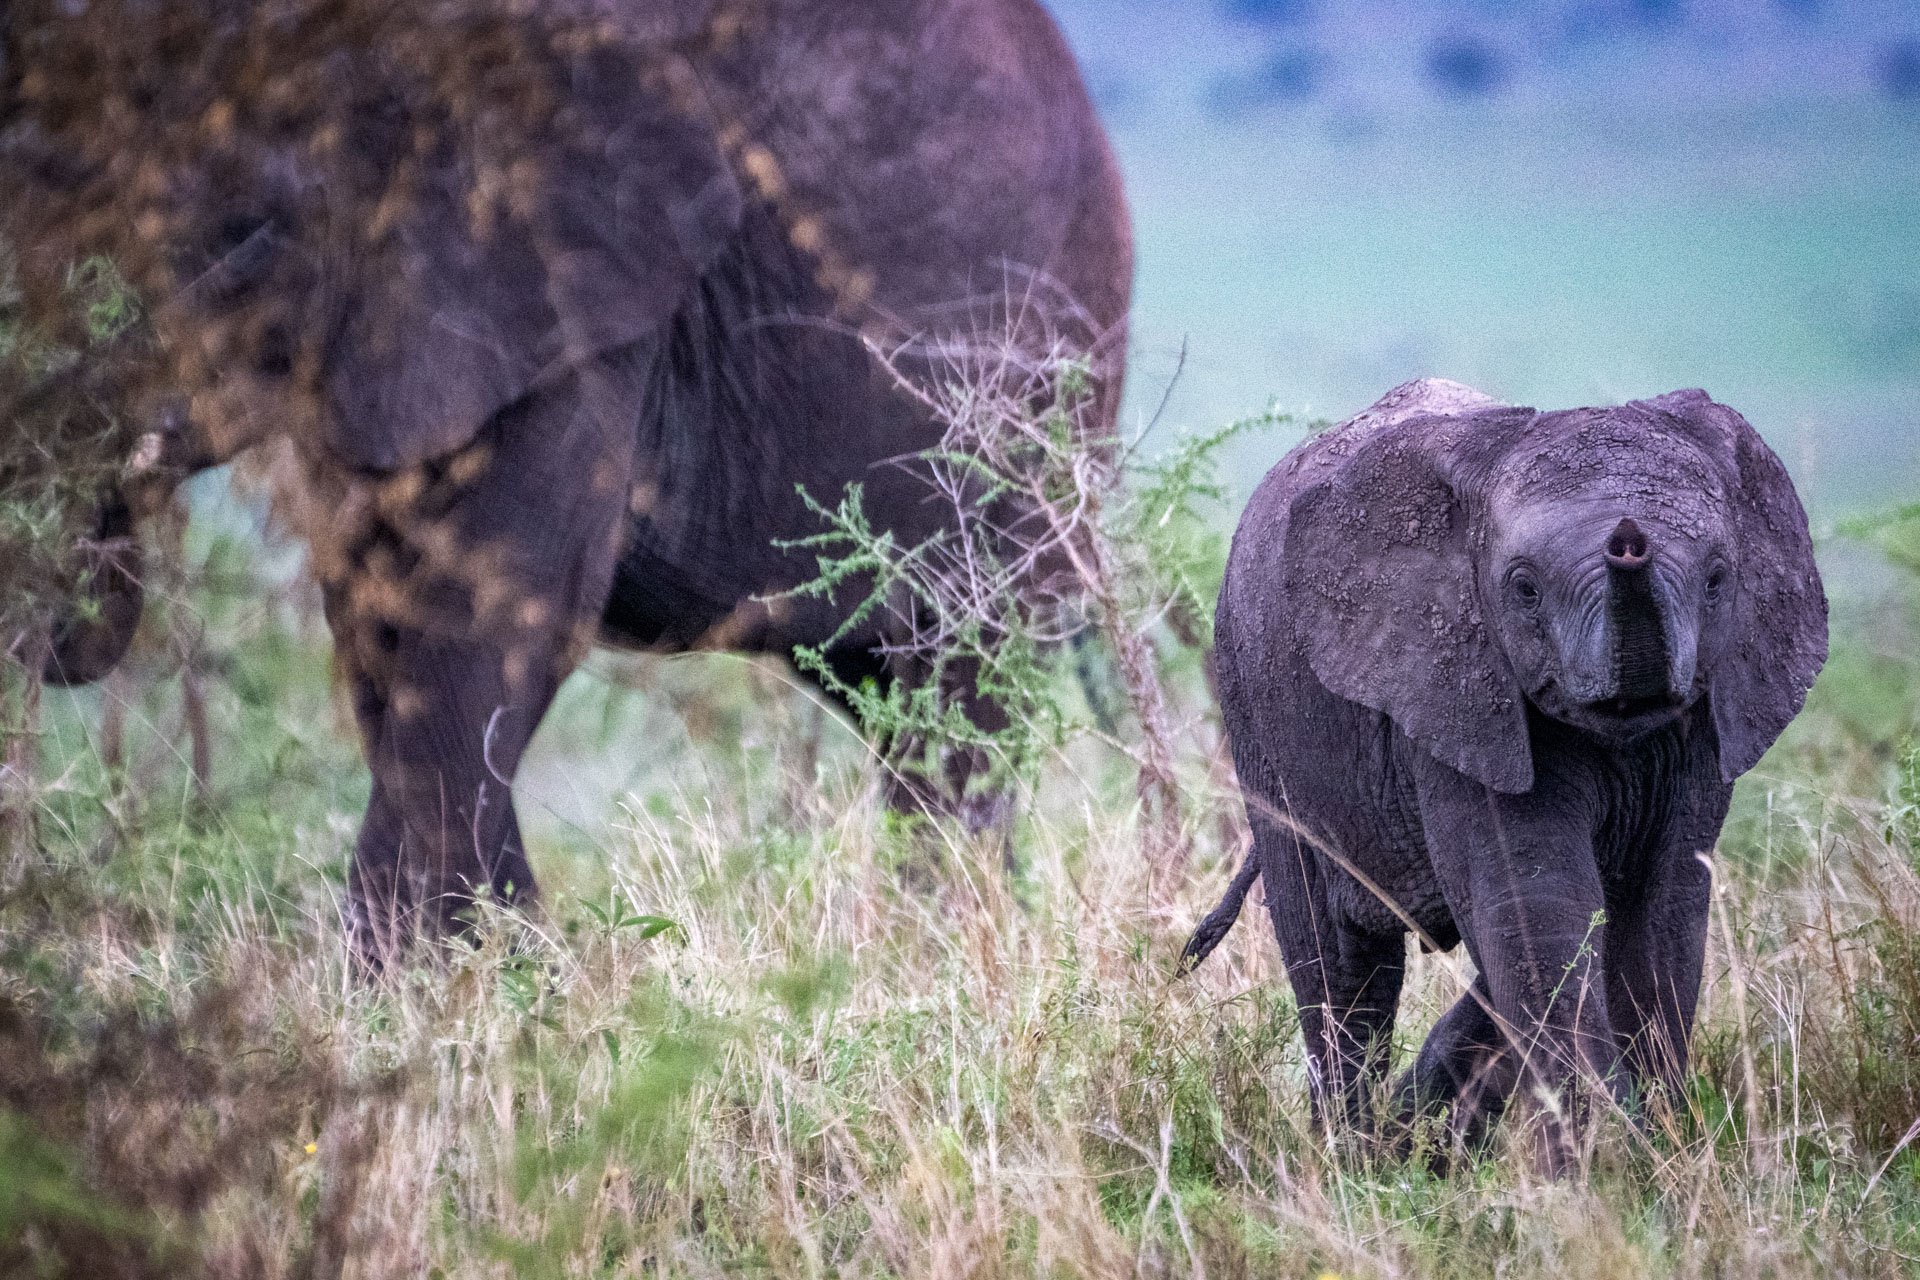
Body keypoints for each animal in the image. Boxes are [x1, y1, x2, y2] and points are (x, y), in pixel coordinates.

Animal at [1, 0, 1131, 958]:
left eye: (239, 243)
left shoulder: (581, 295)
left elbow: (497, 620)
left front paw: (426, 993)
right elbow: (379, 627)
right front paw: (512, 972)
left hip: (1037, 391)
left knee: (961, 687)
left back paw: (952, 951)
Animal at [1181, 378, 1827, 1164]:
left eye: (1715, 581)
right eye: (1522, 588)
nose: (1629, 538)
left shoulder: (1707, 711)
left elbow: (1663, 907)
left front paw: (1658, 1158)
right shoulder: (1456, 689)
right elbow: (1540, 906)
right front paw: (1604, 1173)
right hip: (1257, 706)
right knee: (1338, 961)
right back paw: (1353, 1164)